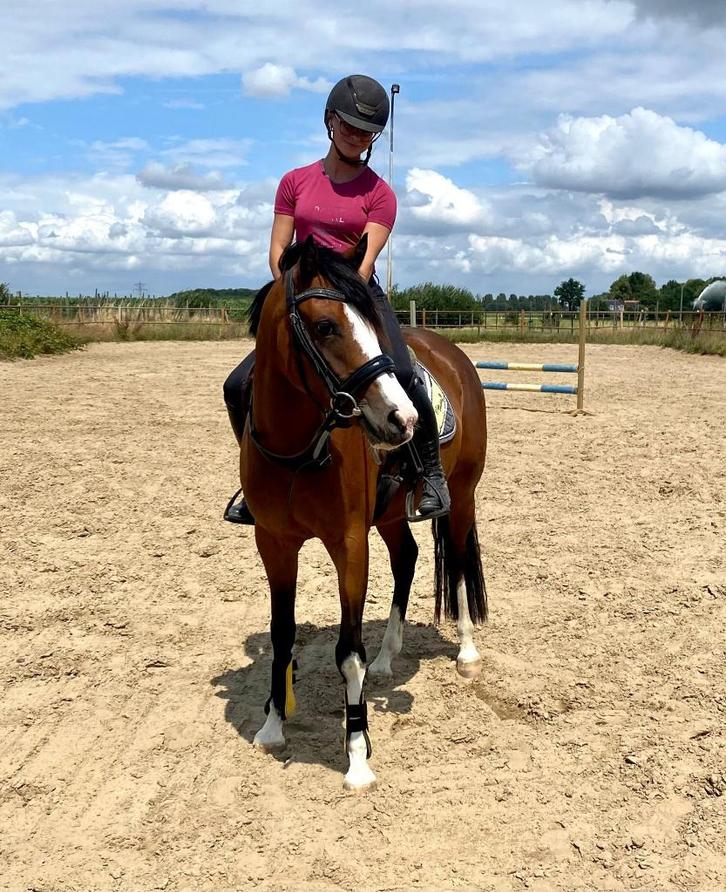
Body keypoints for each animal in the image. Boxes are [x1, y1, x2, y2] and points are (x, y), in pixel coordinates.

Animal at [239, 234, 487, 790]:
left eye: (373, 323)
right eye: (325, 326)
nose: (404, 418)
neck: (300, 449)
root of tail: (454, 354)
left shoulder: (349, 543)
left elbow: (347, 653)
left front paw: (357, 756)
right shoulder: (274, 544)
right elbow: (282, 635)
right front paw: (272, 726)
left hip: (461, 495)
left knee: (458, 561)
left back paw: (466, 652)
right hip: (391, 516)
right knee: (408, 558)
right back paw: (388, 656)